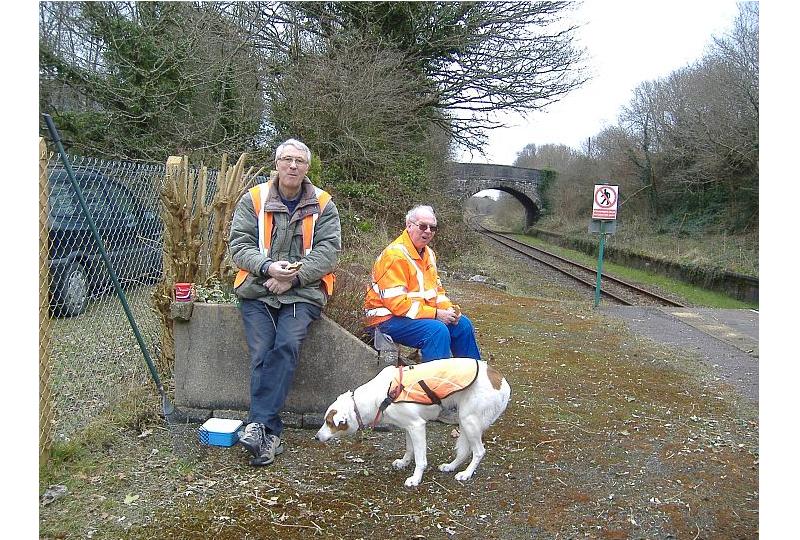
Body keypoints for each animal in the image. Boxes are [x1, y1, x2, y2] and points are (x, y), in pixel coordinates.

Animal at [314, 360, 510, 488]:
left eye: (329, 422)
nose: (316, 437)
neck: (379, 396)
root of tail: (502, 381)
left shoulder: (417, 426)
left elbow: (420, 459)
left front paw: (415, 479)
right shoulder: (408, 427)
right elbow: (410, 450)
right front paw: (404, 462)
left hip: (469, 422)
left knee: (479, 452)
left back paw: (466, 474)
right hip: (464, 421)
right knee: (465, 451)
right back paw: (451, 466)